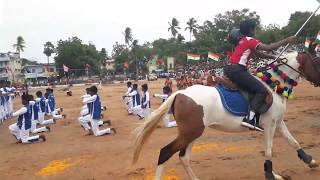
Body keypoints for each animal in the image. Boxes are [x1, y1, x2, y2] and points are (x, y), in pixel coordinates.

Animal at [131, 51, 320, 179]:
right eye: (317, 62)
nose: (318, 81)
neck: (273, 85)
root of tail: (179, 94)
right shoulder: (269, 125)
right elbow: (268, 150)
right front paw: (271, 174)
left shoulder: (278, 122)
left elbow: (293, 142)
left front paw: (309, 160)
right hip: (190, 133)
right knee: (165, 152)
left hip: (192, 133)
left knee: (183, 157)